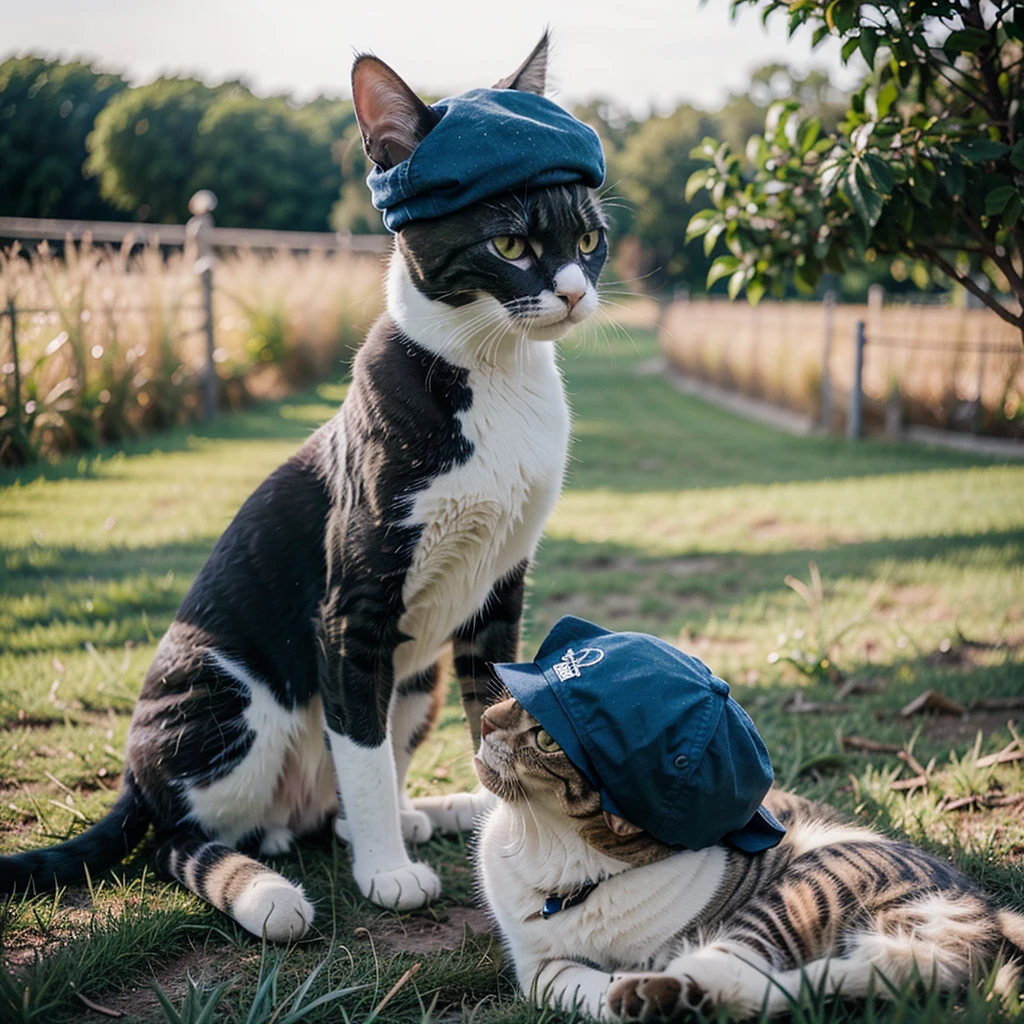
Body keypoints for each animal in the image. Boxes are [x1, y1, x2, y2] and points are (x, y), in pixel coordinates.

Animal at [0, 32, 606, 942]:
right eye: (510, 245)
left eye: (590, 235)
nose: (572, 290)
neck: (494, 376)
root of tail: (131, 781)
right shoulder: (351, 607)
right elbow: (361, 752)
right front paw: (387, 875)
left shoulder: (500, 590)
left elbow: (486, 716)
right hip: (228, 693)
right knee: (177, 836)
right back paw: (266, 889)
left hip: (415, 682)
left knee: (338, 800)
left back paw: (426, 812)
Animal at [475, 692, 1024, 1019]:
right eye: (515, 703)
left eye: (545, 739)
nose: (482, 720)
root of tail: (987, 915)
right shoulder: (539, 966)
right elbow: (567, 983)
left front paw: (627, 986)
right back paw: (665, 999)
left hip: (803, 887)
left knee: (742, 970)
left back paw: (657, 993)